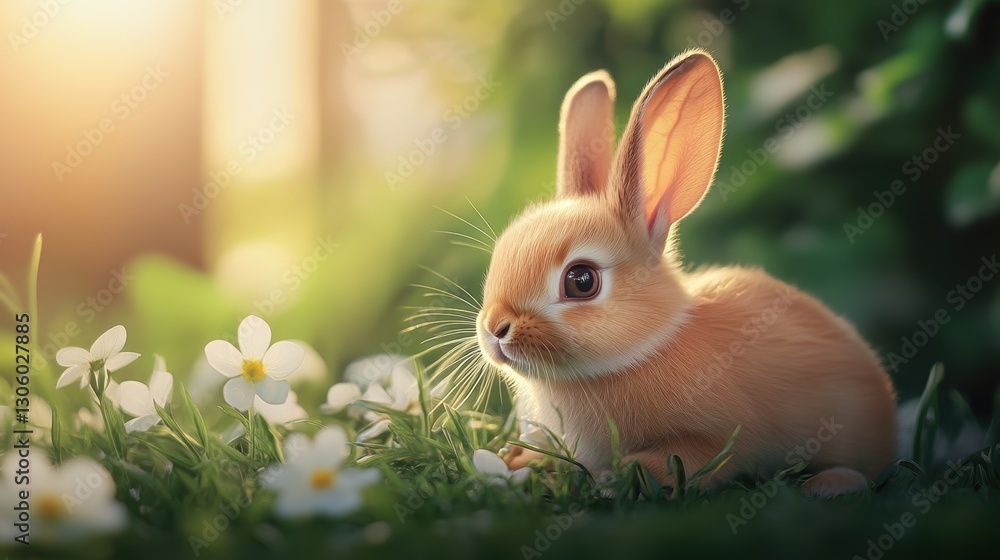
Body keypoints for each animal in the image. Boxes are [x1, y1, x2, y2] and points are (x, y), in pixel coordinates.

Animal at [475, 49, 897, 497]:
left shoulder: (715, 438)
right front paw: (520, 459)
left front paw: (616, 477)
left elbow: (691, 460)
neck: (645, 349)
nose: (495, 328)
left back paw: (827, 484)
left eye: (581, 281)